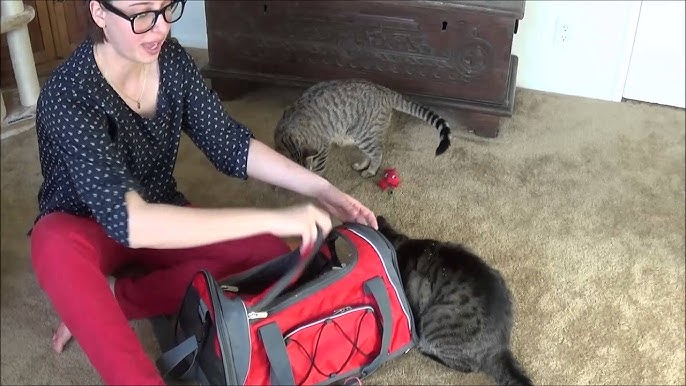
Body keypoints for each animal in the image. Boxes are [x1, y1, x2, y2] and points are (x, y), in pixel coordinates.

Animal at [272, 78, 454, 178]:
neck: (289, 132)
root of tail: (384, 90)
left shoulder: (322, 146)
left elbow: (319, 168)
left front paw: (315, 179)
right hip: (361, 135)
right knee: (370, 153)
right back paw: (362, 165)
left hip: (364, 134)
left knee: (377, 153)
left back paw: (371, 170)